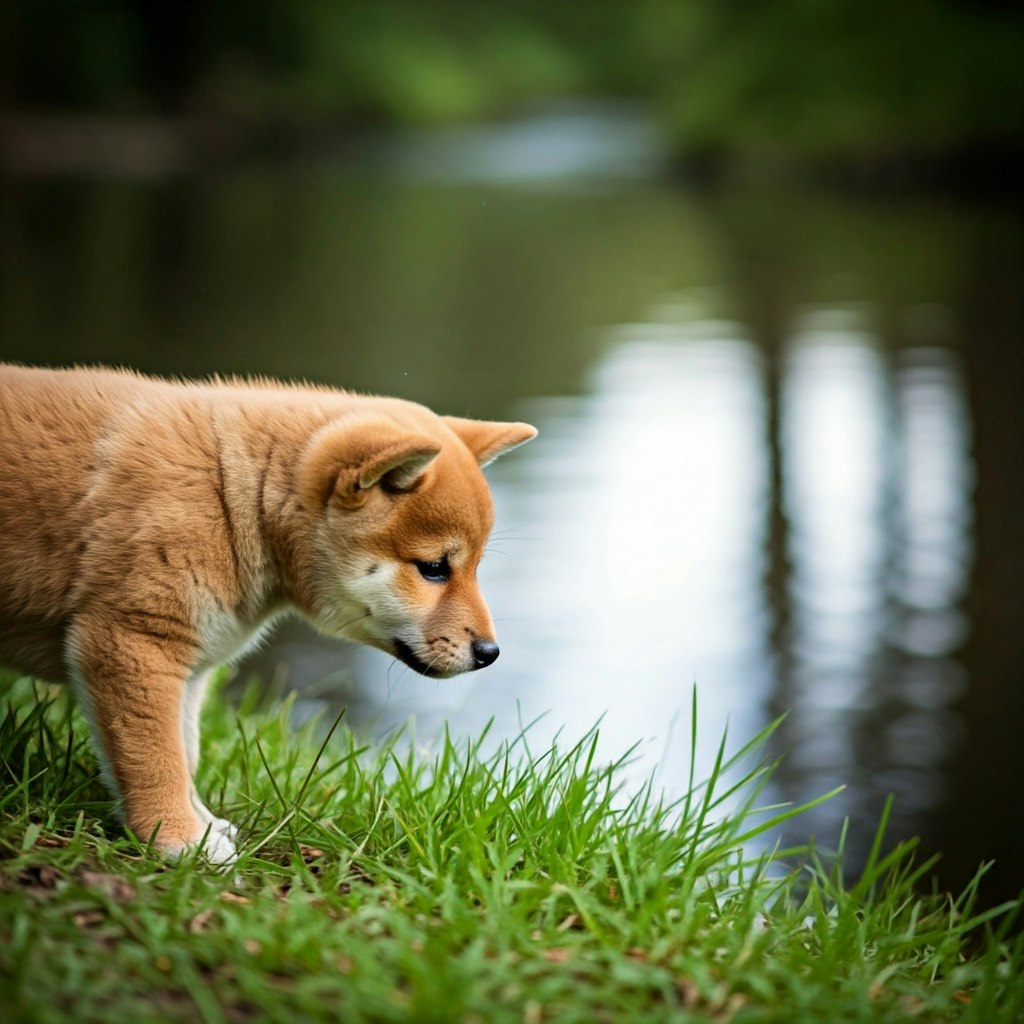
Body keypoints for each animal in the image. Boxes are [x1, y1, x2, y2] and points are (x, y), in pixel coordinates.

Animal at [0, 364, 540, 860]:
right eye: (433, 569)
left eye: (473, 567)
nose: (490, 653)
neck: (233, 495)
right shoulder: (134, 640)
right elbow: (156, 759)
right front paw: (177, 838)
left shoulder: (188, 669)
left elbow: (184, 751)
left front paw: (203, 825)